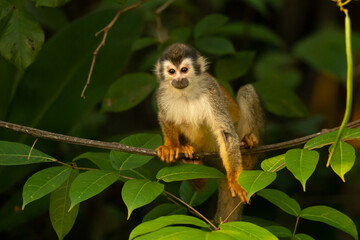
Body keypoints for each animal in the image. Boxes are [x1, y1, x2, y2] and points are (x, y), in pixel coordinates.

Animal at [153, 42, 262, 221]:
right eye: (171, 71)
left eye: (184, 70)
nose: (178, 79)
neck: (185, 92)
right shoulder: (161, 93)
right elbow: (164, 117)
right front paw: (171, 146)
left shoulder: (211, 90)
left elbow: (225, 133)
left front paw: (235, 179)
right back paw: (190, 161)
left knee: (246, 91)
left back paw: (249, 146)